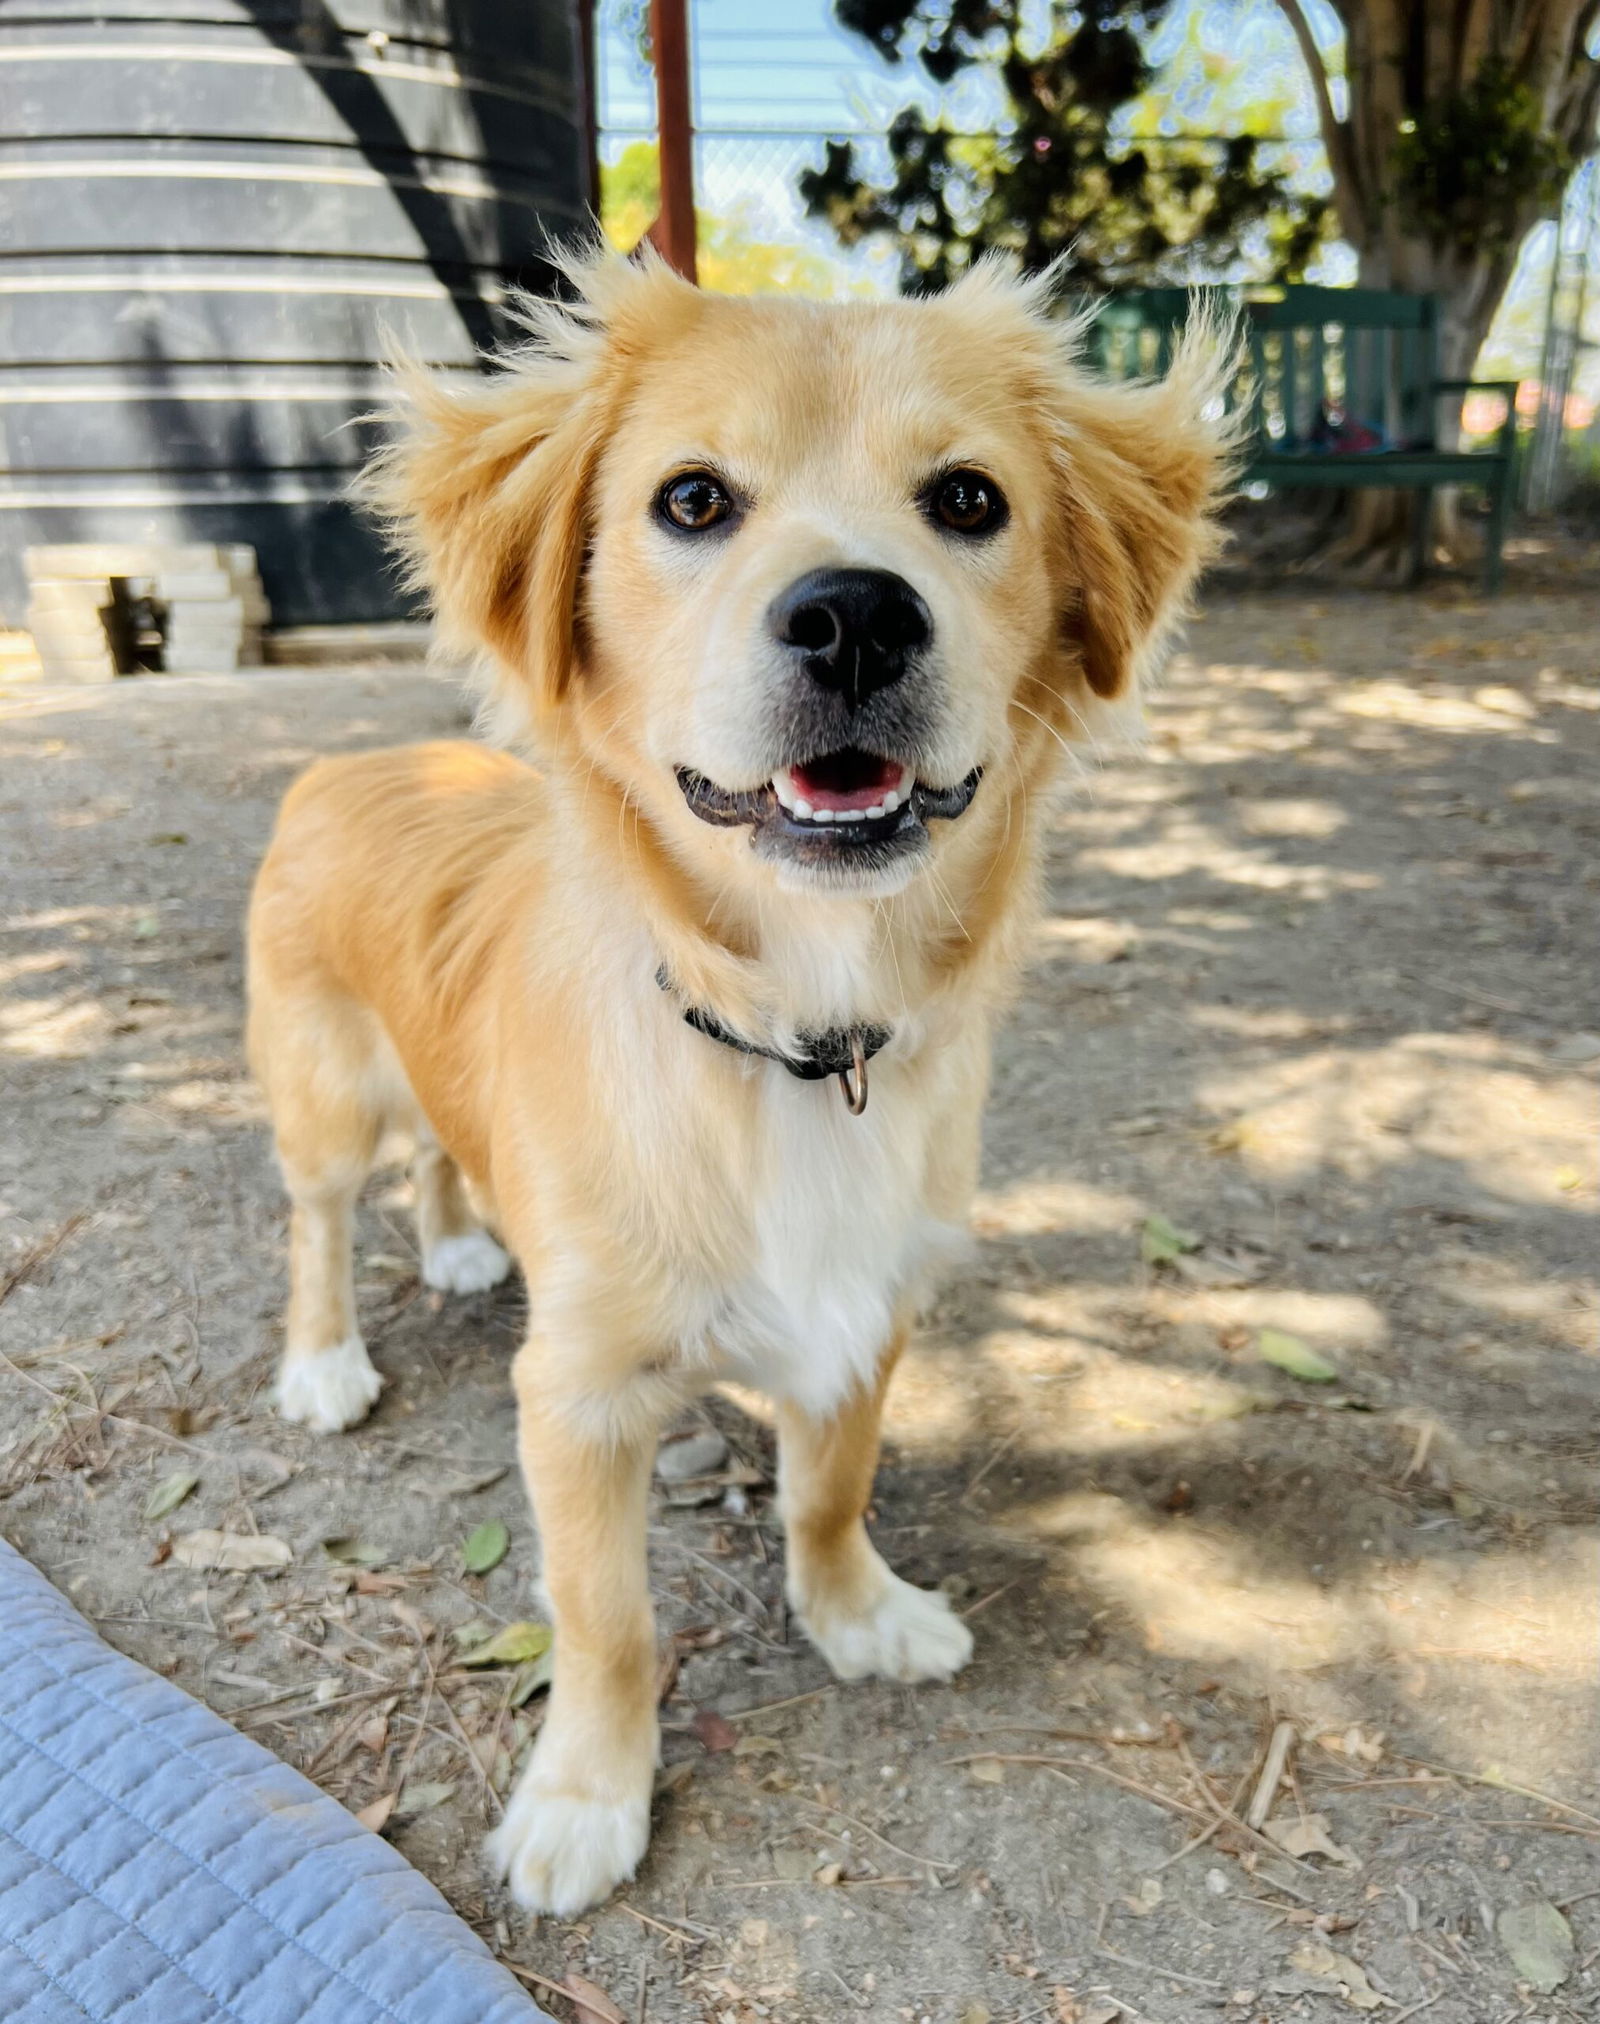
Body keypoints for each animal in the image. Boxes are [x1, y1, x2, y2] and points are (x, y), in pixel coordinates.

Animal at [243, 252, 1229, 1910]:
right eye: (693, 500)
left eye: (969, 499)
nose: (853, 616)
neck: (788, 1036)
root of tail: (354, 762)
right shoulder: (577, 1396)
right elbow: (606, 1618)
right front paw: (587, 1797)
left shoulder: (868, 1315)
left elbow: (830, 1491)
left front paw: (856, 1614)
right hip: (321, 1096)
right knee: (316, 1222)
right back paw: (322, 1360)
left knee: (442, 1154)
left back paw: (456, 1244)